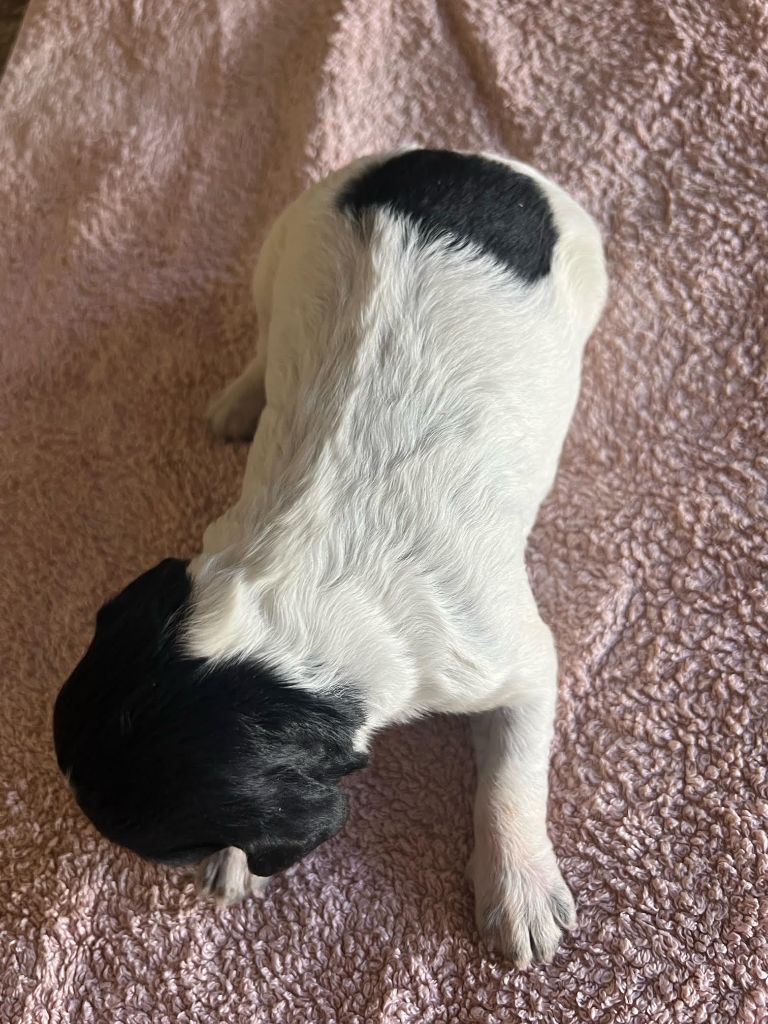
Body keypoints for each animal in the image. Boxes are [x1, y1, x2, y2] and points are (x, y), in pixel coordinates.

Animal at [53, 148, 607, 966]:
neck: (287, 590)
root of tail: (464, 157)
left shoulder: (511, 656)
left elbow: (513, 770)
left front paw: (521, 891)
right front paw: (238, 866)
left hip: (587, 266)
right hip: (284, 240)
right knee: (262, 332)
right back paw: (239, 402)